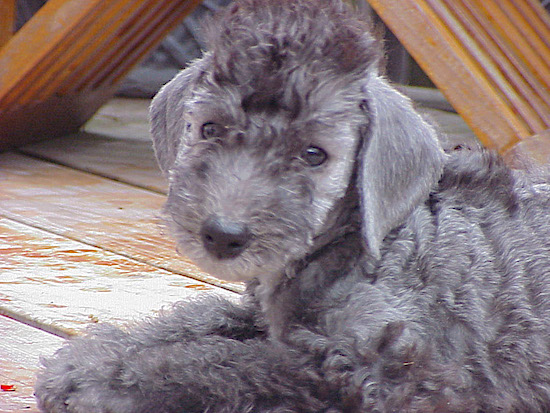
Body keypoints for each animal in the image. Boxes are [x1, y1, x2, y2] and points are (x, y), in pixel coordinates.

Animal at [35, 0, 550, 412]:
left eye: (314, 154)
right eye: (209, 129)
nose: (222, 235)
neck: (356, 248)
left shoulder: (383, 370)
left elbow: (230, 363)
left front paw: (108, 380)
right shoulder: (264, 316)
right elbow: (199, 317)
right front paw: (97, 355)